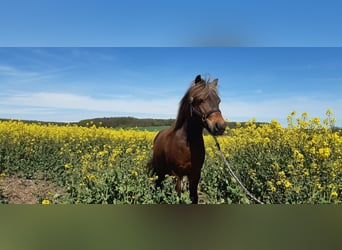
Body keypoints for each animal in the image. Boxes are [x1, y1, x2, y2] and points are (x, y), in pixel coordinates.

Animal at [148, 74, 226, 203]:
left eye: (218, 101)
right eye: (200, 100)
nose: (220, 126)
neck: (187, 144)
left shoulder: (195, 174)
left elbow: (194, 197)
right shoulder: (176, 175)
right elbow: (179, 197)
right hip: (161, 171)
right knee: (158, 184)